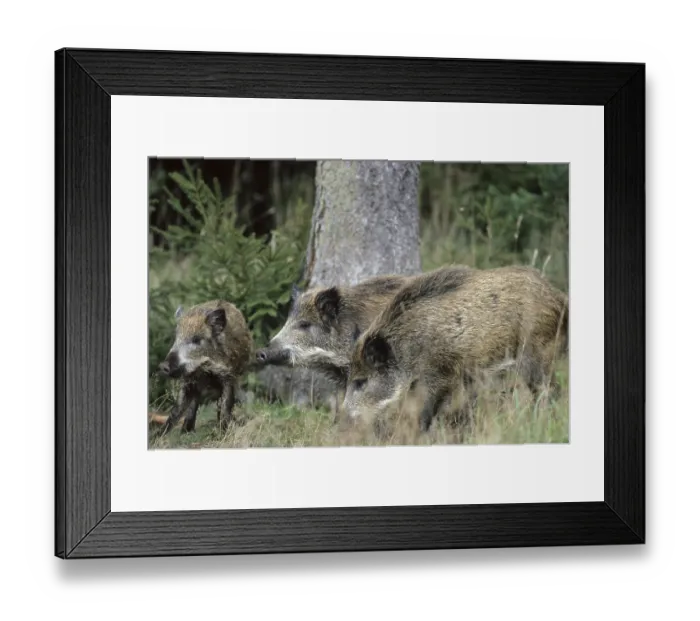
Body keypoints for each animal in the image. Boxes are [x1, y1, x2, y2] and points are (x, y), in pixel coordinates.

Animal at [158, 299, 254, 434]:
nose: (163, 366)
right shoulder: (187, 380)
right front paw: (160, 434)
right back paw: (186, 430)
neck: (204, 371)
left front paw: (224, 431)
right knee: (194, 402)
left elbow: (226, 403)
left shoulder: (228, 375)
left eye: (196, 339)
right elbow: (177, 409)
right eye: (176, 338)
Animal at [343, 264, 569, 432]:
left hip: (537, 354)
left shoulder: (440, 376)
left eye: (361, 381)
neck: (409, 347)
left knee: (549, 391)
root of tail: (558, 297)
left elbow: (426, 413)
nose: (342, 420)